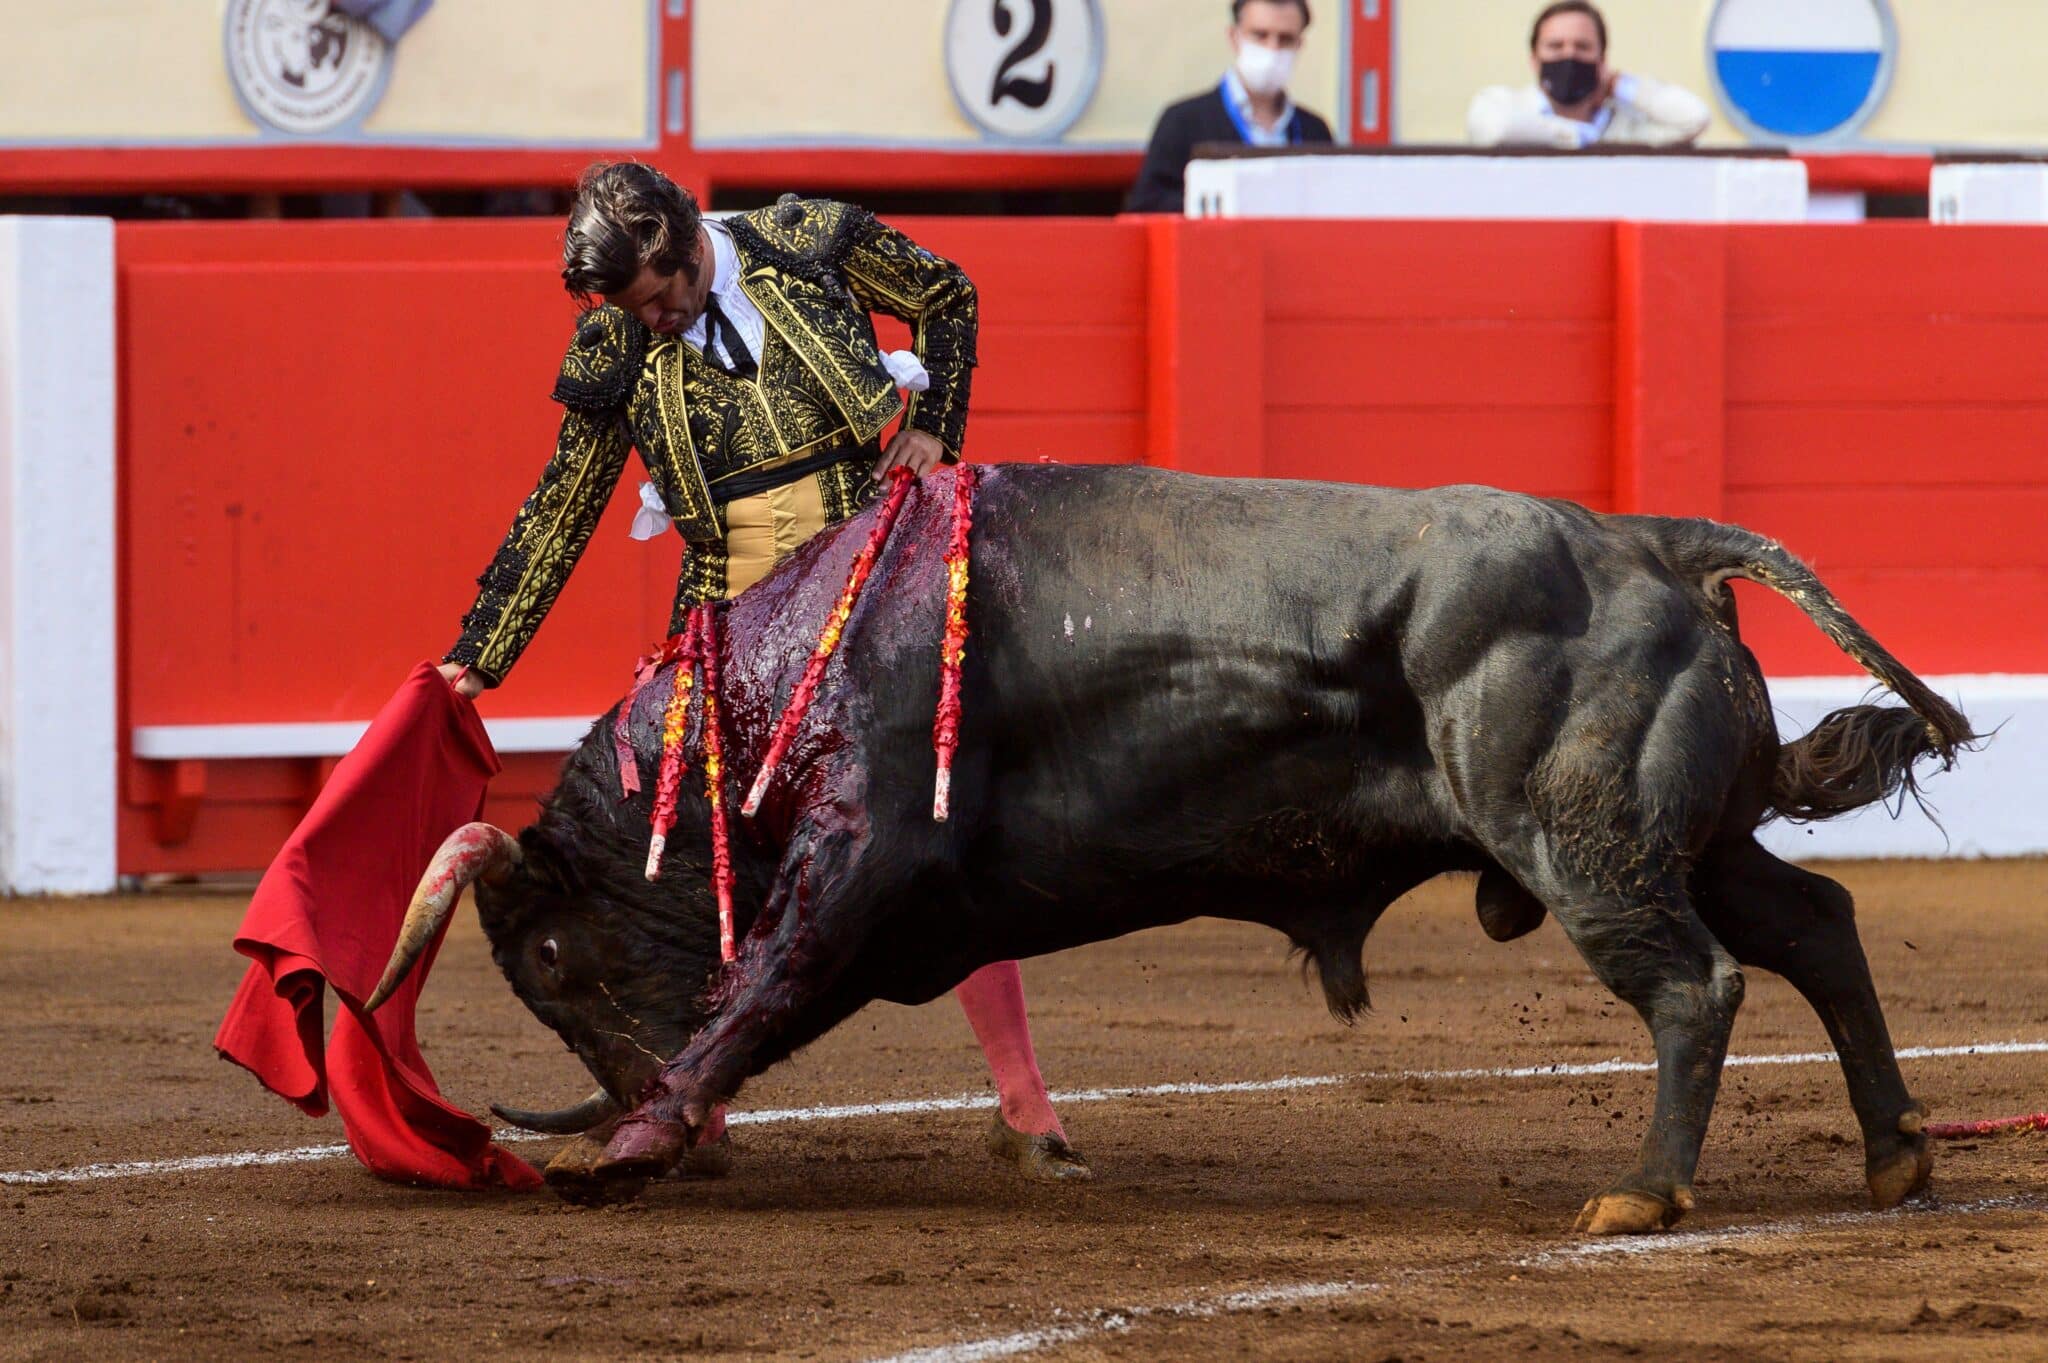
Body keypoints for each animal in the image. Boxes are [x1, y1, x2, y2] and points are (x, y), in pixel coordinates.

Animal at [364, 462, 1966, 1227]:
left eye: (550, 953)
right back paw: (1894, 1153)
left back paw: (1642, 1190)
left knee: (1696, 982)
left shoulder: (860, 854)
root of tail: (1651, 540)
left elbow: (760, 985)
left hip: (1587, 843)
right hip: (1683, 841)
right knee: (1813, 923)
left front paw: (626, 1145)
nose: (632, 1092)